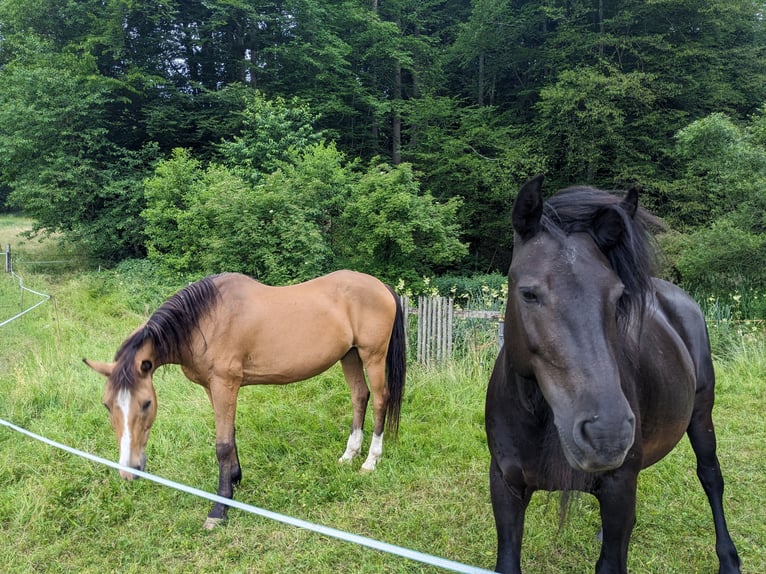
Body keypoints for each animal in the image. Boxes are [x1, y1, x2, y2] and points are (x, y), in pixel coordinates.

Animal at [84, 270, 406, 528]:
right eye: (107, 405)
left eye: (146, 404)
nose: (129, 470)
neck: (205, 321)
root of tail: (382, 287)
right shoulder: (213, 388)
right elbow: (231, 435)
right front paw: (235, 479)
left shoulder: (224, 384)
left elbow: (223, 445)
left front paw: (220, 508)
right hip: (349, 355)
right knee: (359, 396)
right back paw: (349, 454)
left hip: (372, 356)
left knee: (379, 400)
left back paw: (370, 460)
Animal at [486, 175, 741, 573]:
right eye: (528, 293)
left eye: (618, 296)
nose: (607, 433)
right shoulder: (505, 487)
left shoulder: (619, 487)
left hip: (702, 414)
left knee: (711, 476)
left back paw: (729, 559)